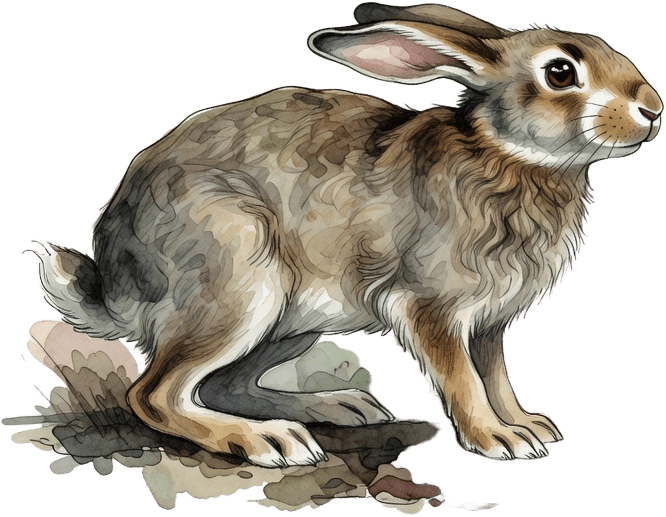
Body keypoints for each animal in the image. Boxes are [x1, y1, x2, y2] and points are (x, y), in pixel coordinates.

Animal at [26, 1, 662, 467]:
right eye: (561, 72)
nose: (652, 109)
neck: (508, 155)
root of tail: (117, 285)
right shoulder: (430, 306)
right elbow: (464, 379)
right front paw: (497, 439)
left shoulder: (491, 321)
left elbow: (496, 375)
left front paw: (529, 425)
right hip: (238, 280)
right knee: (153, 393)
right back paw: (267, 440)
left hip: (290, 319)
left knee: (220, 384)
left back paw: (339, 407)